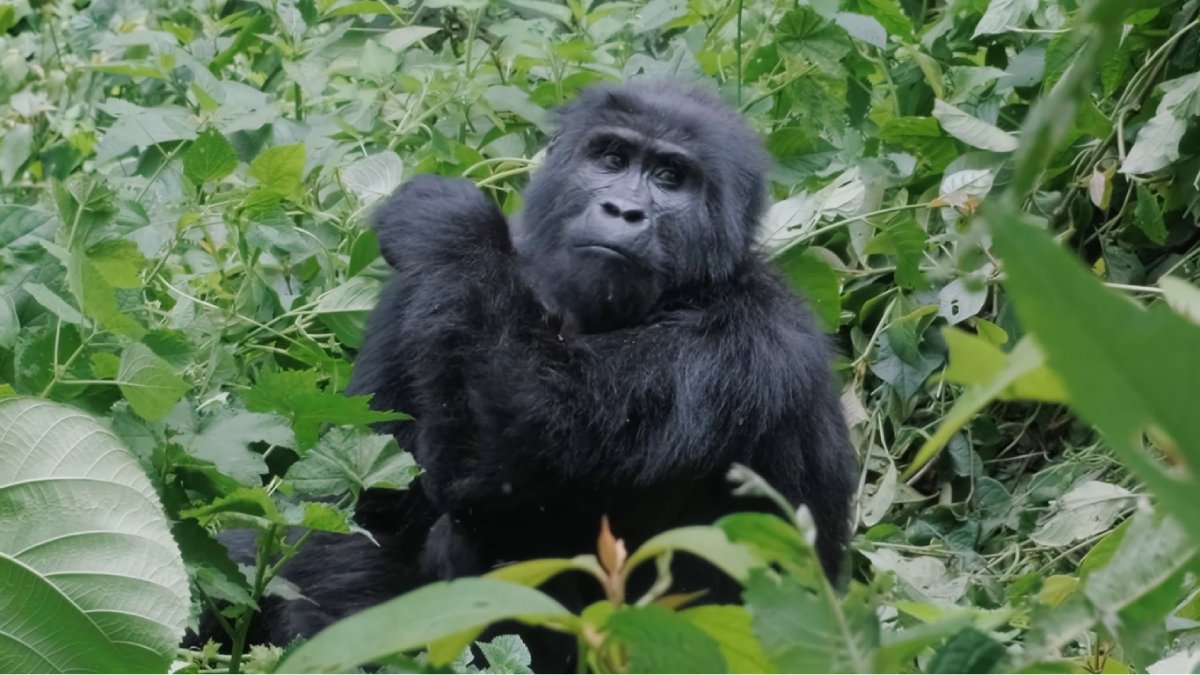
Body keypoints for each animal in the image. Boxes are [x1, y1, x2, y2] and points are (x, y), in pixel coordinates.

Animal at [194, 79, 854, 667]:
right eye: (611, 158)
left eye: (671, 178)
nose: (623, 210)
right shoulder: (412, 294)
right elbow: (360, 506)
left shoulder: (754, 340)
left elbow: (503, 458)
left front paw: (453, 229)